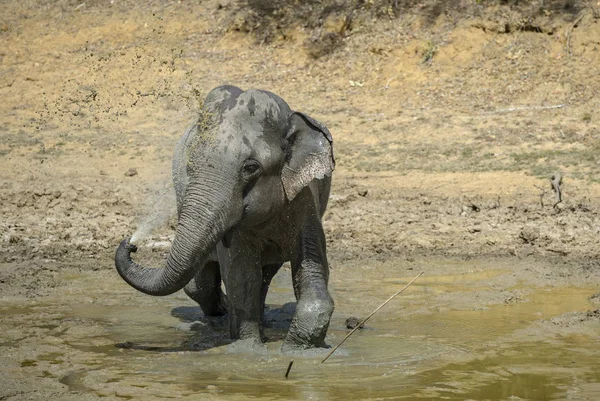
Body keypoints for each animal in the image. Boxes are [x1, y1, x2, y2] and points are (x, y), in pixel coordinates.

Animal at [115, 84, 336, 350]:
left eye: (251, 168)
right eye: (189, 164)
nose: (131, 243)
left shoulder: (306, 201)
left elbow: (312, 269)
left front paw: (298, 349)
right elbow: (241, 275)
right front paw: (247, 349)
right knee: (203, 284)